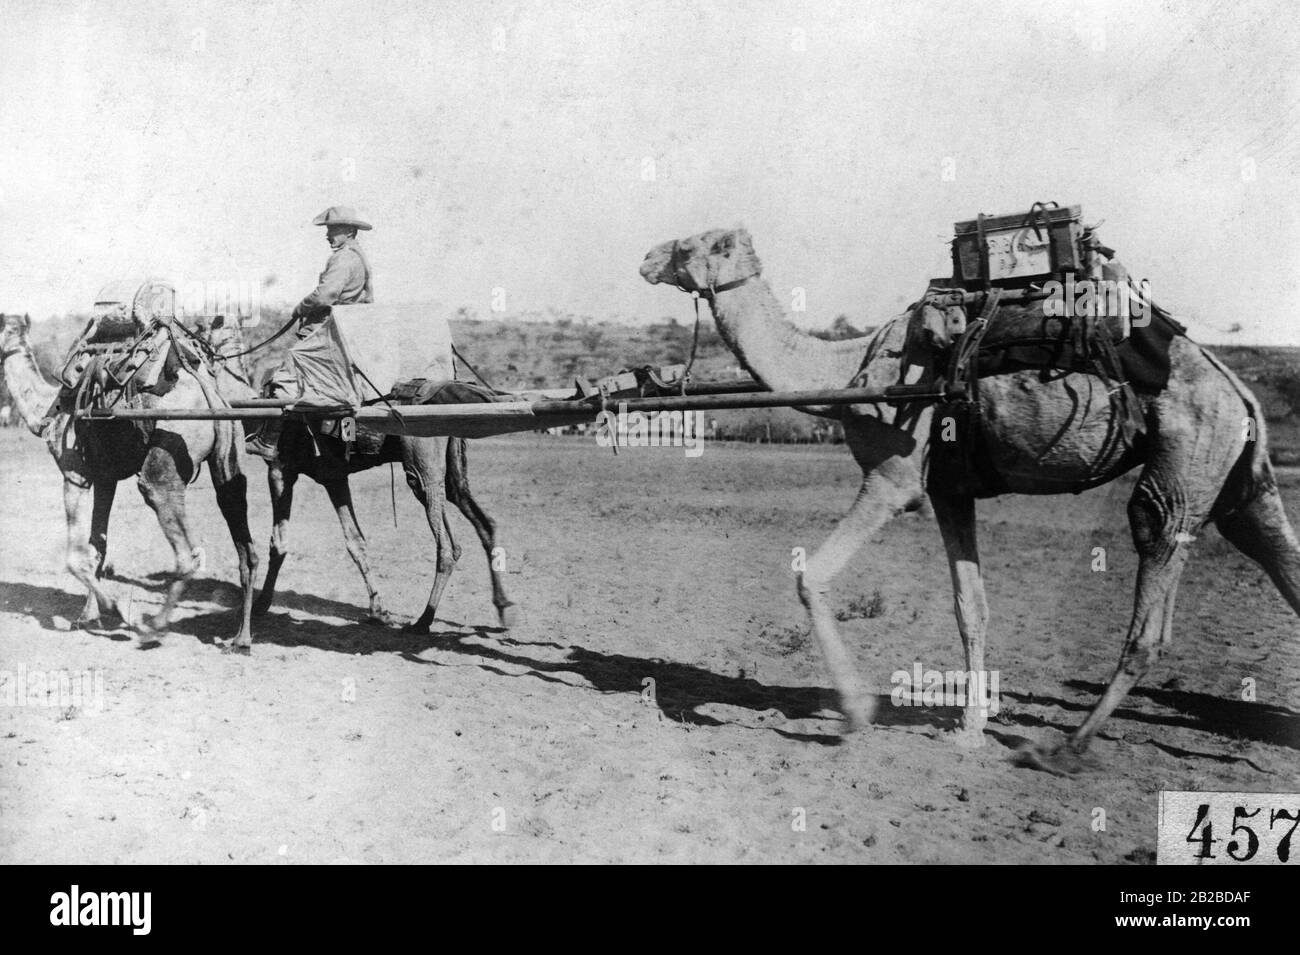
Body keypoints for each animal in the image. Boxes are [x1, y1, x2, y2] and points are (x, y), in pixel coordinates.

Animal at [0, 314, 258, 649]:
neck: (47, 410)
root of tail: (210, 394)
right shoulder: (104, 477)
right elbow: (97, 546)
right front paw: (87, 617)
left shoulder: (74, 472)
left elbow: (75, 557)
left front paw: (117, 612)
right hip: (229, 459)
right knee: (245, 545)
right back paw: (241, 638)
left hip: (165, 463)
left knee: (186, 551)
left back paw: (152, 627)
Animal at [200, 317, 514, 634]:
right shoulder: (334, 477)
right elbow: (356, 541)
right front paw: (378, 610)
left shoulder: (280, 470)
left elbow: (279, 543)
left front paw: (262, 605)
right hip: (452, 473)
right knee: (483, 521)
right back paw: (502, 610)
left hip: (423, 468)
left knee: (448, 546)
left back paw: (423, 621)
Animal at [639, 227, 1300, 774]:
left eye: (688, 245)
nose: (645, 258)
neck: (845, 371)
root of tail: (1238, 389)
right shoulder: (950, 488)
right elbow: (970, 607)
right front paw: (970, 726)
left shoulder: (895, 477)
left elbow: (811, 575)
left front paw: (856, 715)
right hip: (1242, 480)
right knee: (1274, 550)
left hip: (1189, 455)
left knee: (1153, 567)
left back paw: (1064, 748)